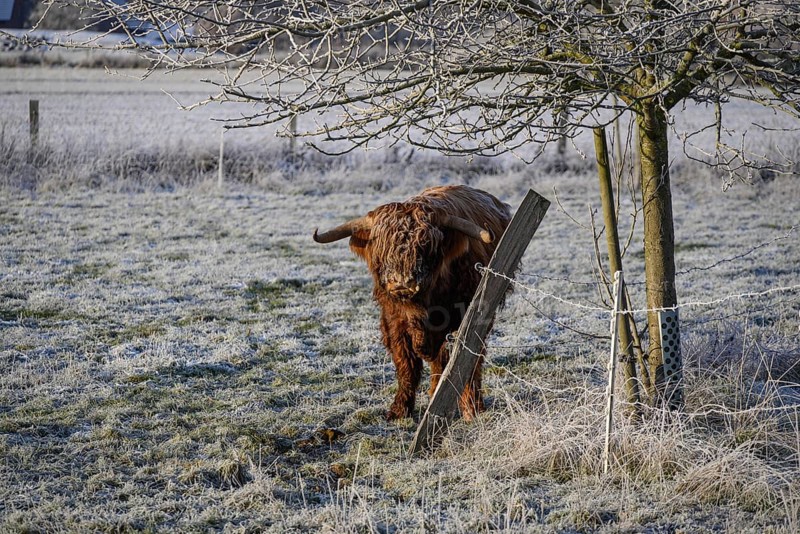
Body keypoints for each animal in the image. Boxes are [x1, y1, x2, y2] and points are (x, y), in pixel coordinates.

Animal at [313, 185, 512, 421]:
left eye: (425, 245)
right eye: (382, 246)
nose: (402, 282)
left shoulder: (469, 320)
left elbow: (466, 361)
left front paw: (472, 409)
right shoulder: (394, 321)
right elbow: (406, 364)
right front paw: (399, 410)